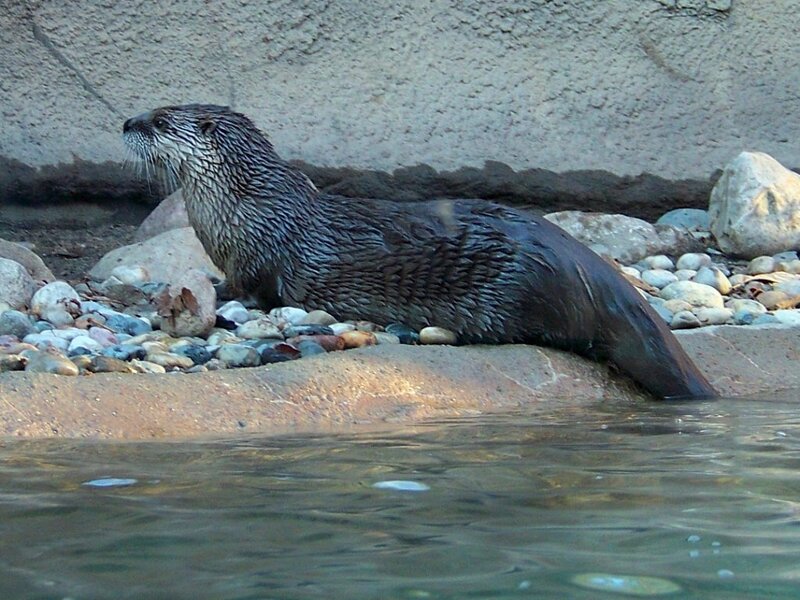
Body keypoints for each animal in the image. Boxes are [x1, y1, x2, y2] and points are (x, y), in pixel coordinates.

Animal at [123, 104, 716, 400]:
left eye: (158, 121)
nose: (126, 122)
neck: (240, 206)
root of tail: (587, 266)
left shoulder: (260, 257)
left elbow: (252, 291)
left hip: (514, 287)